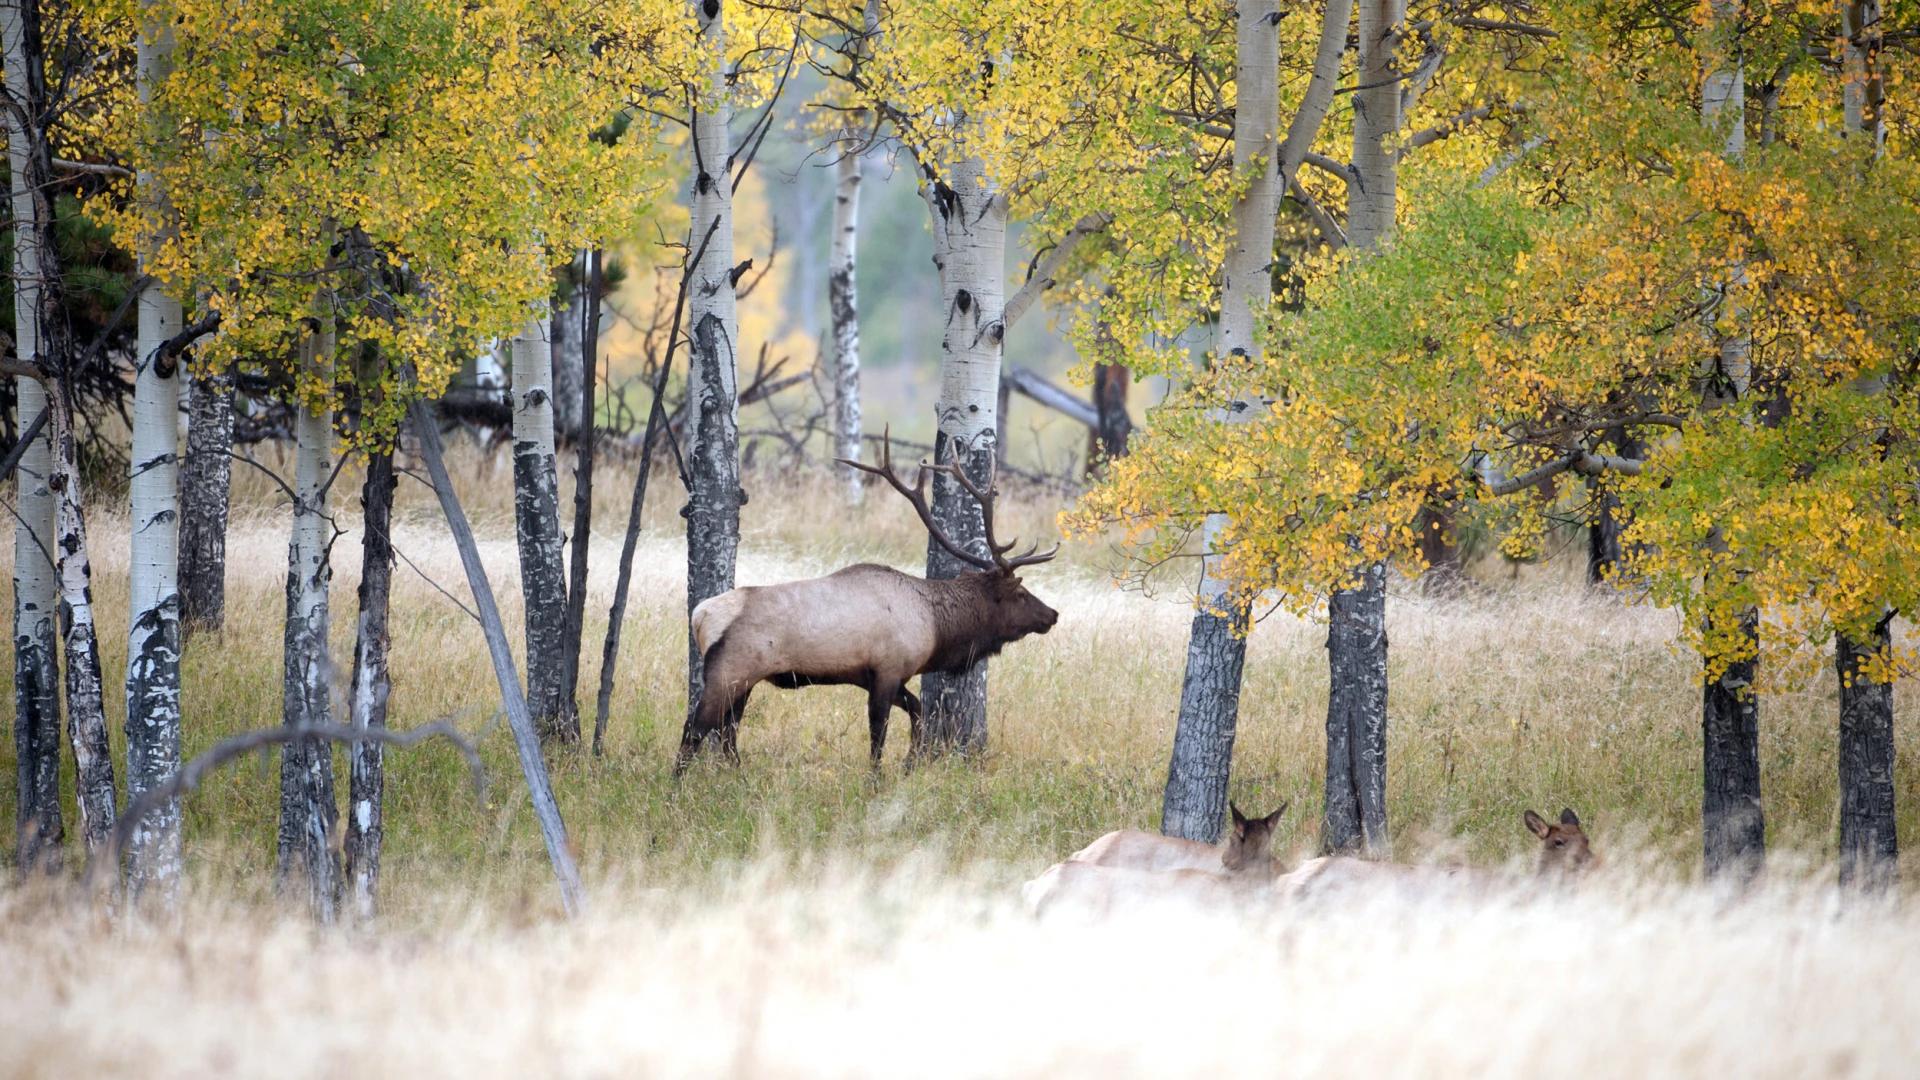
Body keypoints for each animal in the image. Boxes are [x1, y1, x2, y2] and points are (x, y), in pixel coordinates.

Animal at [679, 432, 1067, 768]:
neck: (935, 628)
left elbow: (918, 713)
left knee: (727, 731)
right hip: (731, 671)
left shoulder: (879, 676)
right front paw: (877, 780)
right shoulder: (887, 669)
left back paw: (738, 775)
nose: (1052, 613)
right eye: (1020, 592)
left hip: (743, 681)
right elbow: (879, 735)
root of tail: (700, 614)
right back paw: (677, 788)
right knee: (695, 729)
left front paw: (910, 764)